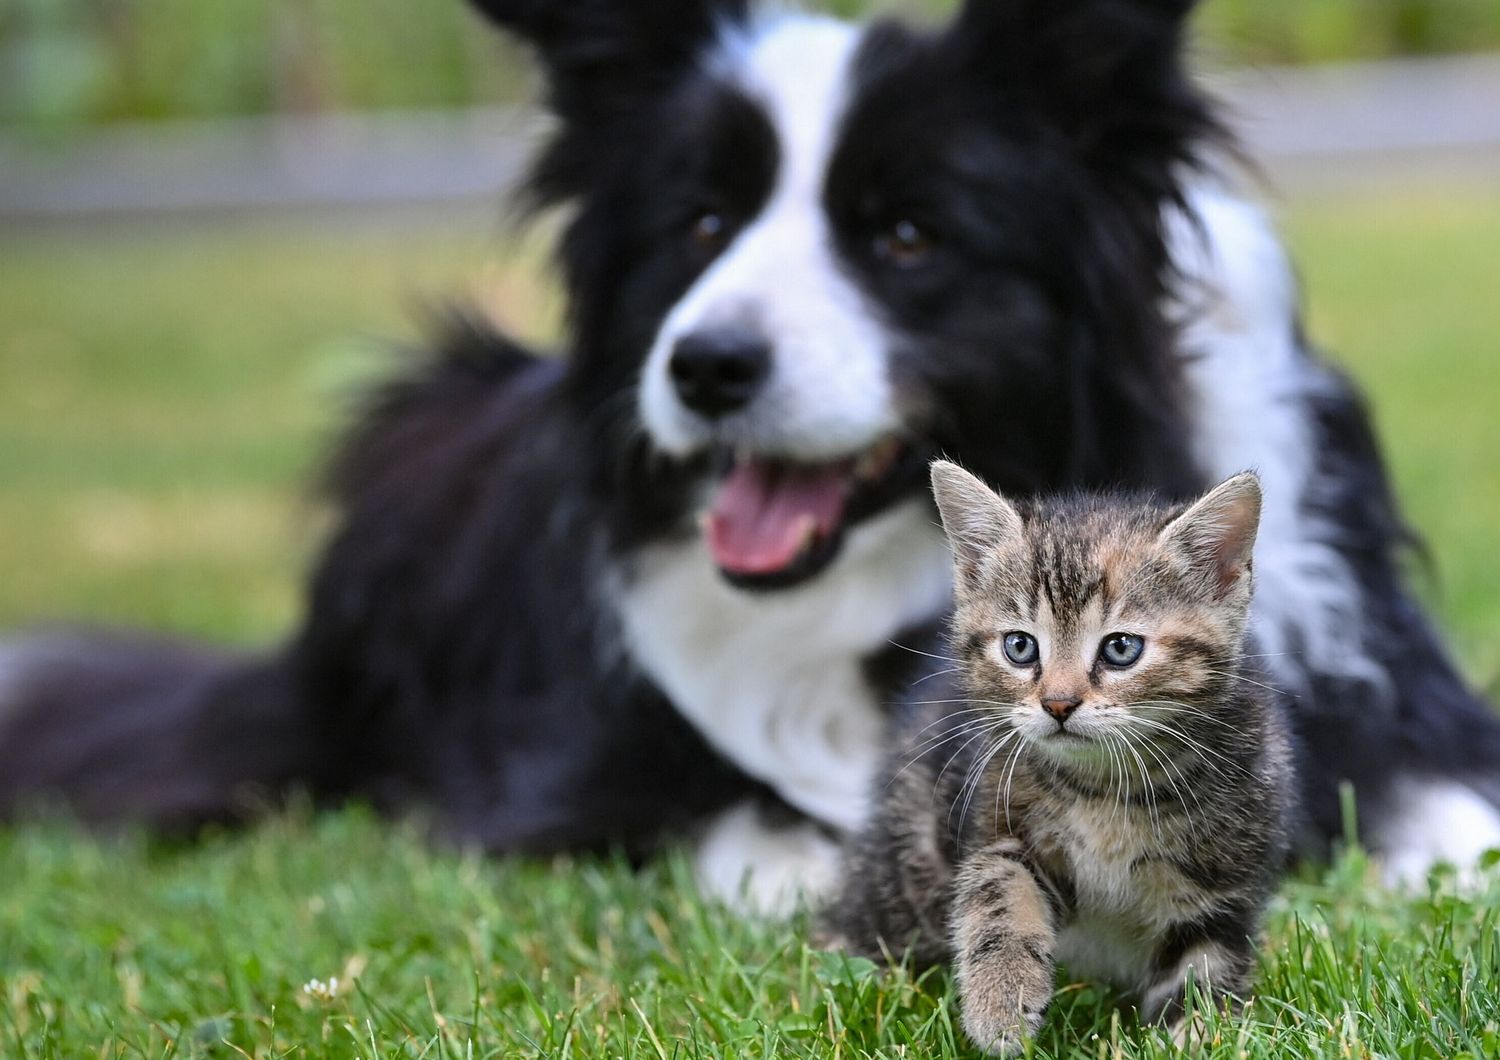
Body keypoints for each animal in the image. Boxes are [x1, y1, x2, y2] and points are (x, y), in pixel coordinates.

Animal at [828, 461, 1296, 1055]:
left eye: (1121, 648)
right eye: (1020, 647)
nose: (1058, 703)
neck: (1109, 789)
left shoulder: (1222, 882)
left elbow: (1203, 969)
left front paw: (1194, 1036)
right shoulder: (996, 817)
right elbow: (999, 891)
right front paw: (1001, 1004)